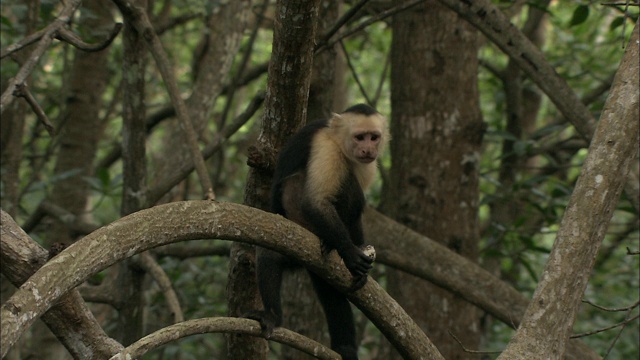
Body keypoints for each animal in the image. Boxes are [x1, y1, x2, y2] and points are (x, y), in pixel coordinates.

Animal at [246, 103, 390, 360]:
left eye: (374, 137)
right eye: (360, 137)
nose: (368, 148)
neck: (341, 143)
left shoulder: (368, 165)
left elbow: (356, 213)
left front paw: (360, 256)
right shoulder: (326, 147)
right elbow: (316, 202)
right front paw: (350, 252)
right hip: (296, 228)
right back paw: (272, 316)